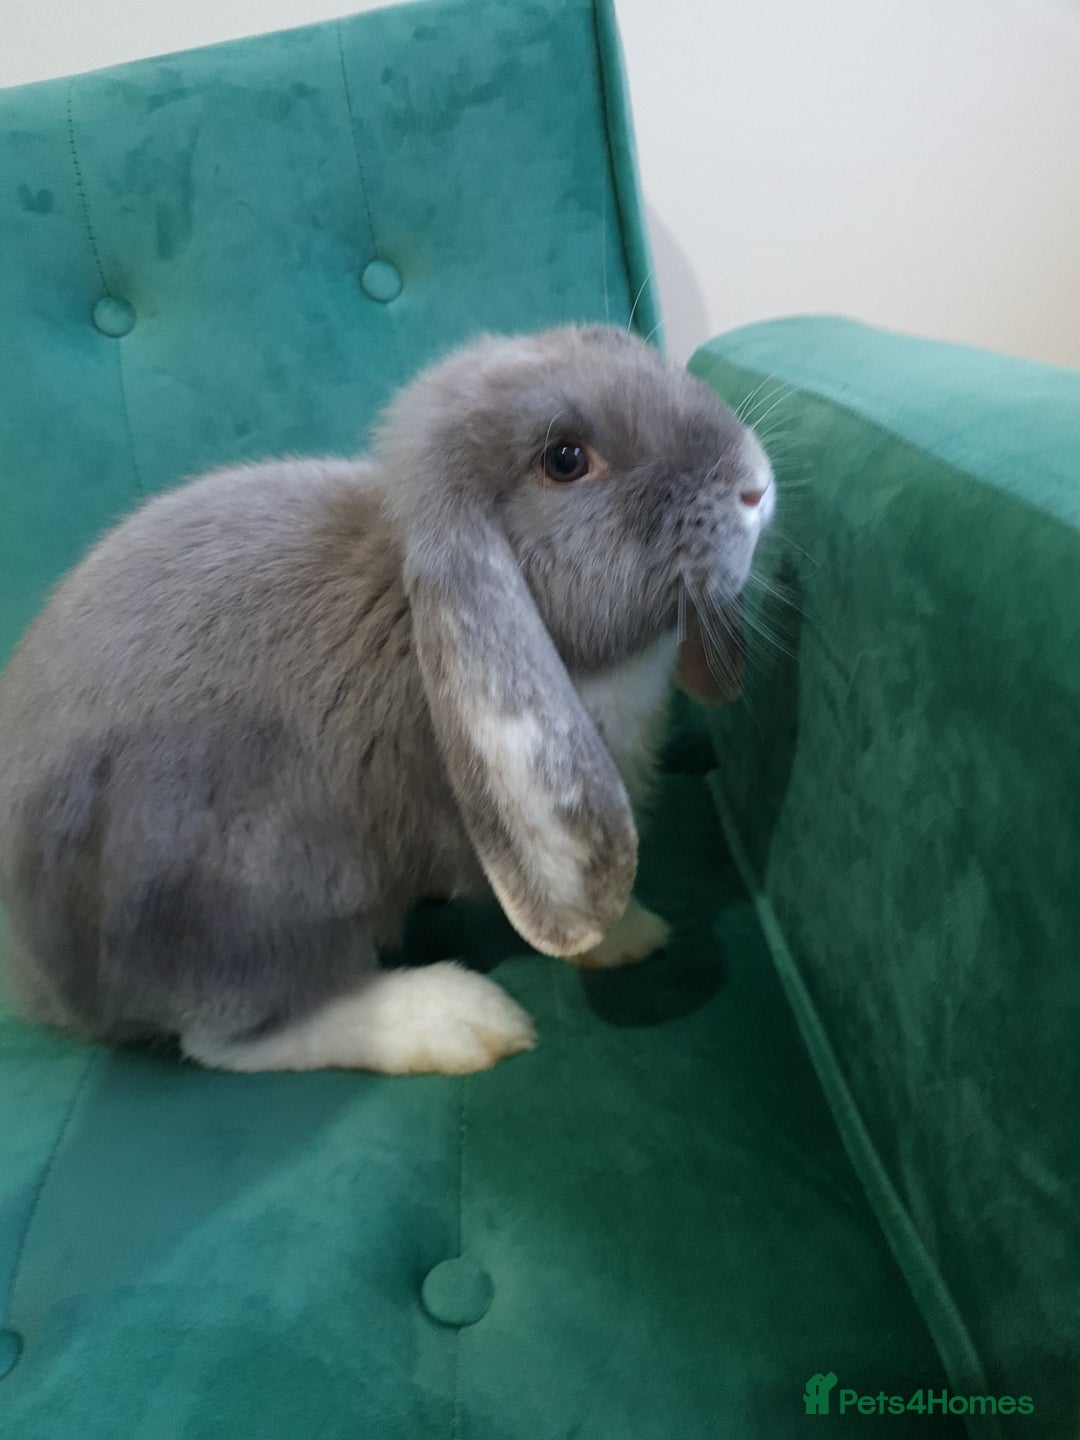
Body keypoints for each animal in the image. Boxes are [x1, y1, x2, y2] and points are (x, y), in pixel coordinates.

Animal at [0, 325, 774, 1075]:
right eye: (565, 459)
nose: (757, 486)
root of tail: (40, 981)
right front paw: (625, 934)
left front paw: (635, 932)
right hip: (255, 886)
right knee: (236, 1034)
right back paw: (453, 1019)